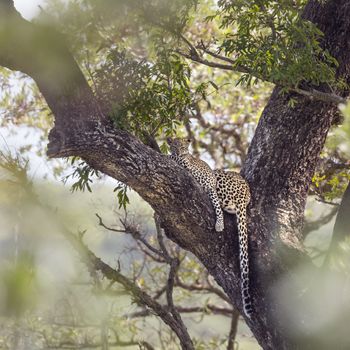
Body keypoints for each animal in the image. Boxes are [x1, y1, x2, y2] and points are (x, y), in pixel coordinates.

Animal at [168, 137, 253, 320]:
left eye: (183, 146)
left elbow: (177, 160)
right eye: (175, 145)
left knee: (218, 203)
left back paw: (219, 223)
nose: (179, 151)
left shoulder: (193, 170)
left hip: (218, 179)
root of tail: (246, 196)